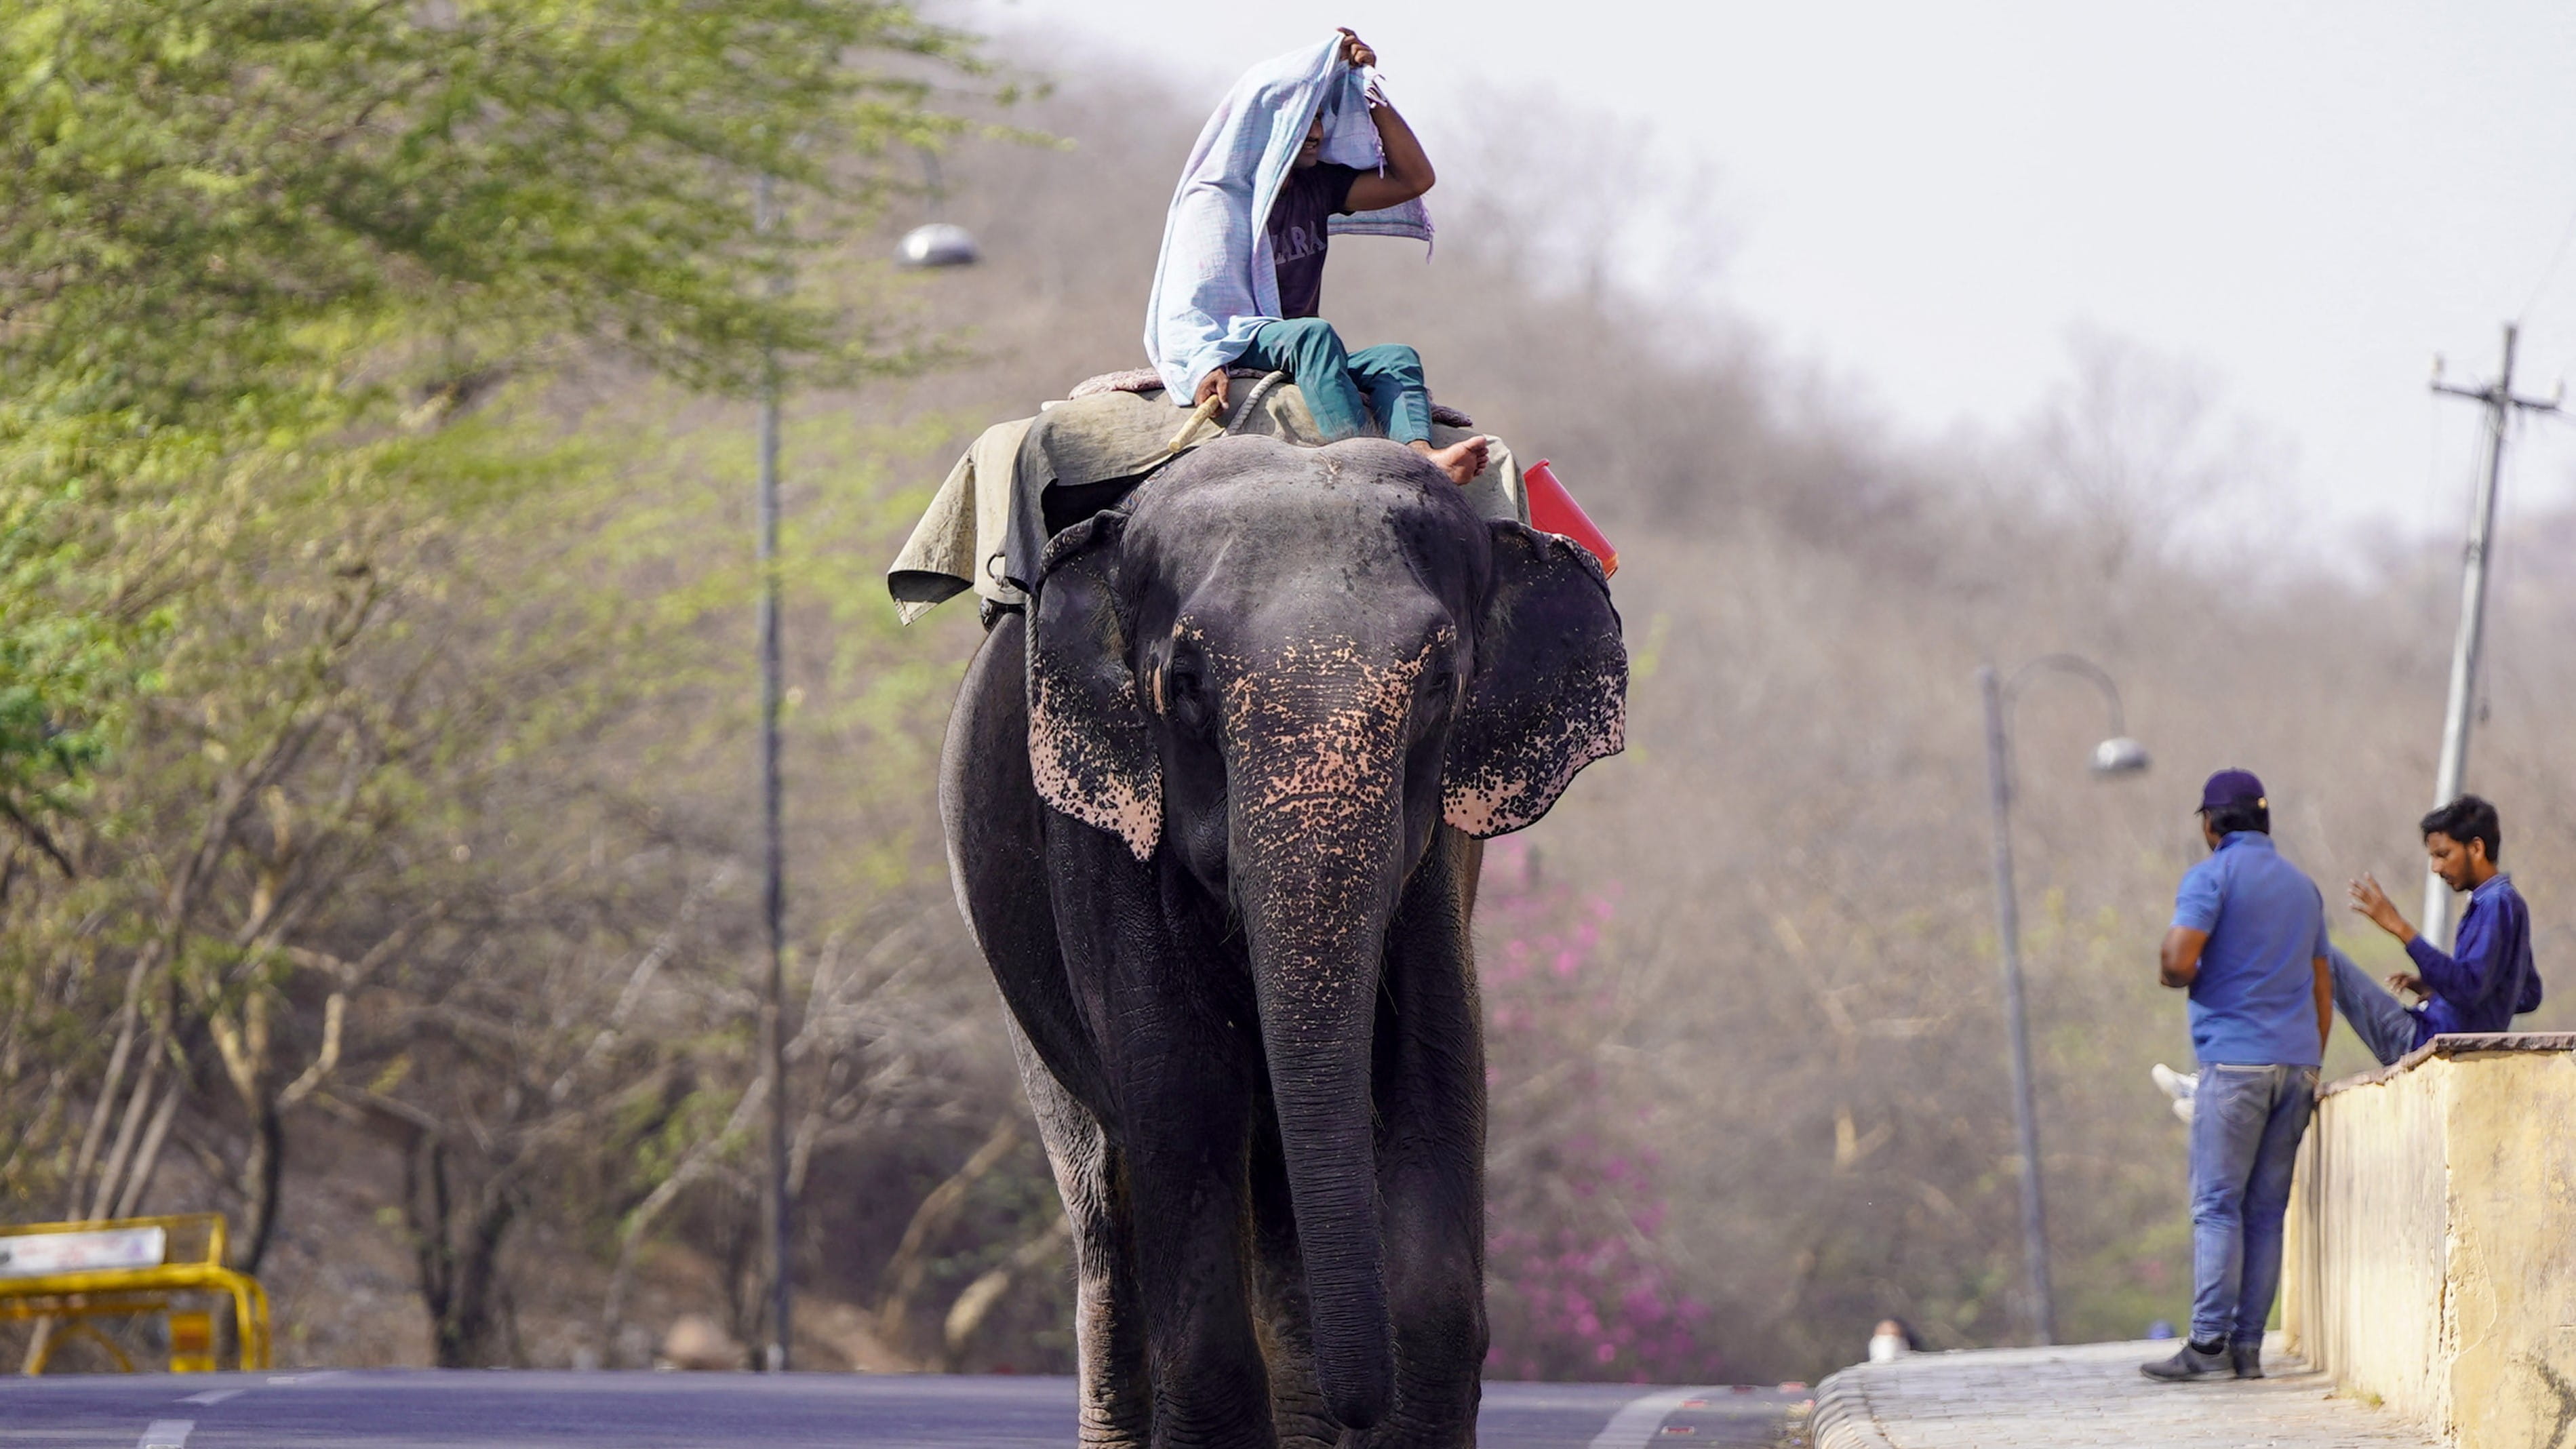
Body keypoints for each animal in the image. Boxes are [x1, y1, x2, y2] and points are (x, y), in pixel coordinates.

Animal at [943, 435, 1627, 1449]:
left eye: (1439, 685)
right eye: (1185, 686)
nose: (1357, 1407)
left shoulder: (1437, 869)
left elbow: (1434, 1086)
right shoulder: (1104, 837)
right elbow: (1181, 1095)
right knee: (1105, 1206)